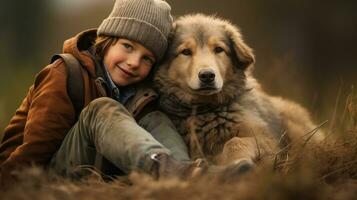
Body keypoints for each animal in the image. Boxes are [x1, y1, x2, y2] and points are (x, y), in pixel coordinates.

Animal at [153, 14, 322, 166]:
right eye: (186, 52)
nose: (207, 76)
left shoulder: (269, 140)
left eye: (219, 49)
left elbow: (234, 142)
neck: (208, 110)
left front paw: (235, 161)